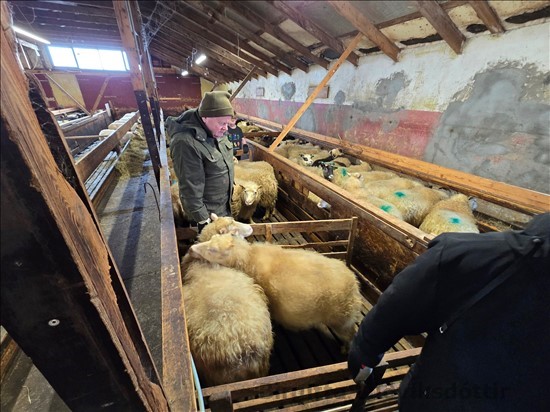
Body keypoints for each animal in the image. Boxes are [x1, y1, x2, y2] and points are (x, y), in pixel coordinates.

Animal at [189, 234, 363, 345]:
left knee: (350, 335)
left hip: (341, 319)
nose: (191, 248)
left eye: (213, 250)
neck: (249, 257)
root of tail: (354, 284)